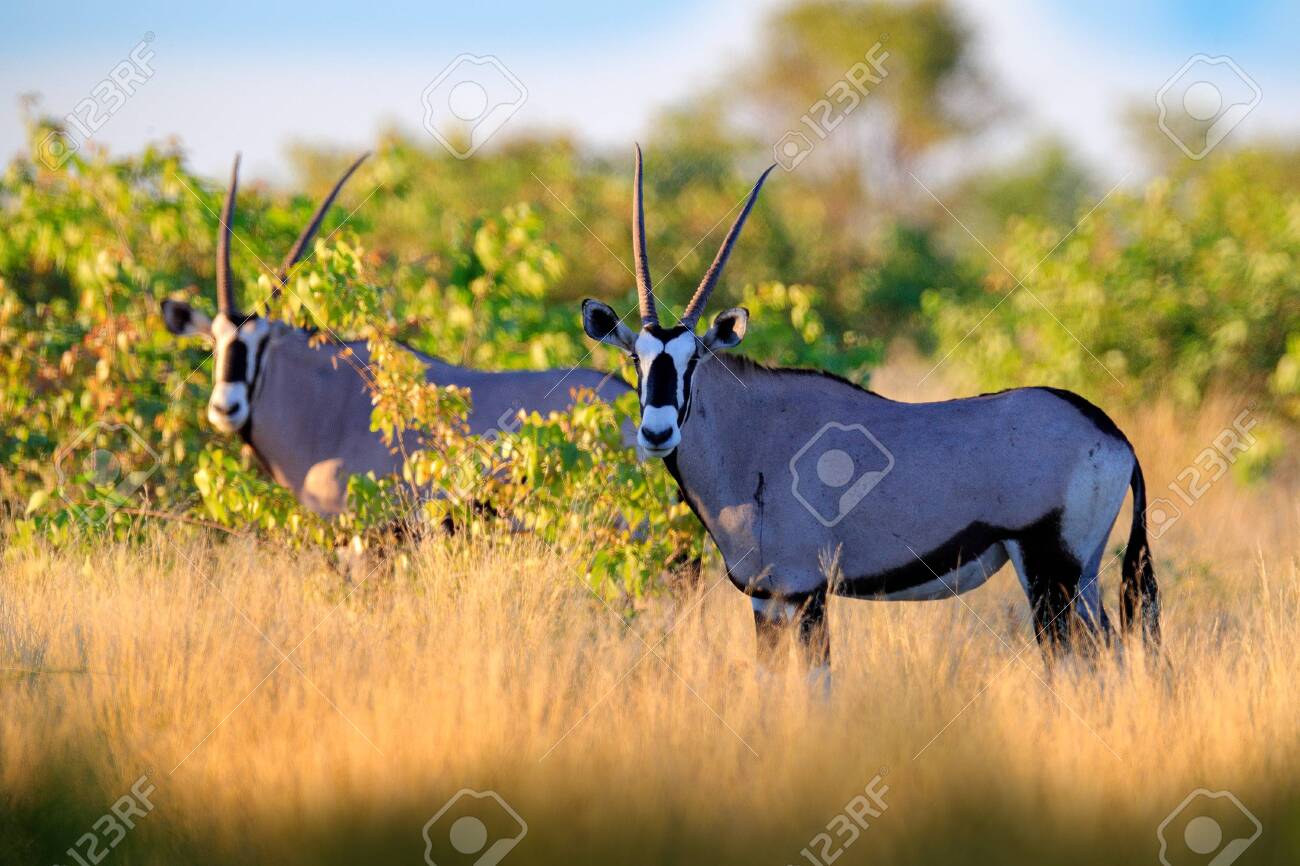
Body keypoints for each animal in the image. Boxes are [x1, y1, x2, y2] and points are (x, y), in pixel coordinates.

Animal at [581, 146, 1160, 687]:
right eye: (636, 359)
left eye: (694, 361)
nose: (657, 432)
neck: (751, 437)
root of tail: (1114, 437)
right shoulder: (766, 598)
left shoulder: (807, 589)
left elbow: (817, 685)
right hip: (1082, 577)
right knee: (1109, 652)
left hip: (1049, 571)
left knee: (1077, 662)